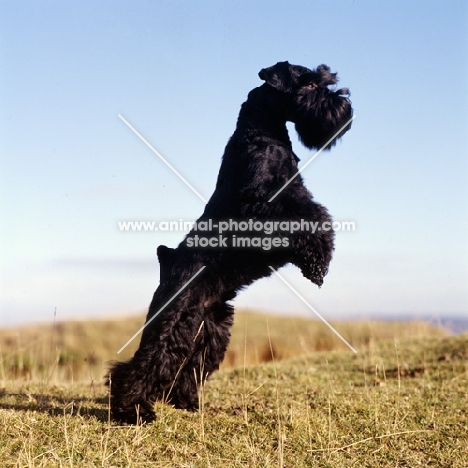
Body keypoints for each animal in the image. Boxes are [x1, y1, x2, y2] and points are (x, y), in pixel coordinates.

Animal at [108, 60, 352, 422]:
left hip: (210, 328)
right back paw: (133, 410)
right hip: (172, 317)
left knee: (187, 365)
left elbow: (314, 213)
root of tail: (167, 260)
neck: (261, 133)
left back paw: (187, 401)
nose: (346, 107)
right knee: (143, 362)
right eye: (310, 84)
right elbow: (313, 217)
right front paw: (317, 263)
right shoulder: (262, 208)